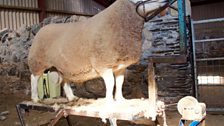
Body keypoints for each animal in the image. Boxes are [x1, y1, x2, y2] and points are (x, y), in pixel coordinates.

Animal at [28, 0, 167, 103]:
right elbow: (111, 83)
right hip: (38, 62)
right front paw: (110, 100)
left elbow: (120, 82)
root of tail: (41, 30)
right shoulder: (103, 64)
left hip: (63, 67)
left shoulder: (121, 66)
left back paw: (72, 97)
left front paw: (120, 99)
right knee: (34, 78)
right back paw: (35, 98)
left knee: (65, 81)